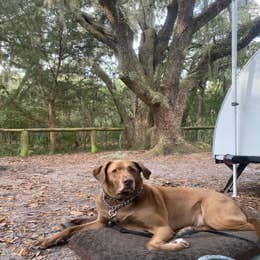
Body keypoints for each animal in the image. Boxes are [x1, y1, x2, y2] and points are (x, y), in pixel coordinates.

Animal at [37, 159, 258, 251]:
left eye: (133, 169)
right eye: (115, 171)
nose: (128, 182)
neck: (120, 203)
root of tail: (234, 201)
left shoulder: (162, 227)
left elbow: (151, 244)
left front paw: (175, 245)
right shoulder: (102, 222)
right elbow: (72, 229)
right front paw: (49, 240)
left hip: (217, 216)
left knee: (251, 226)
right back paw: (186, 230)